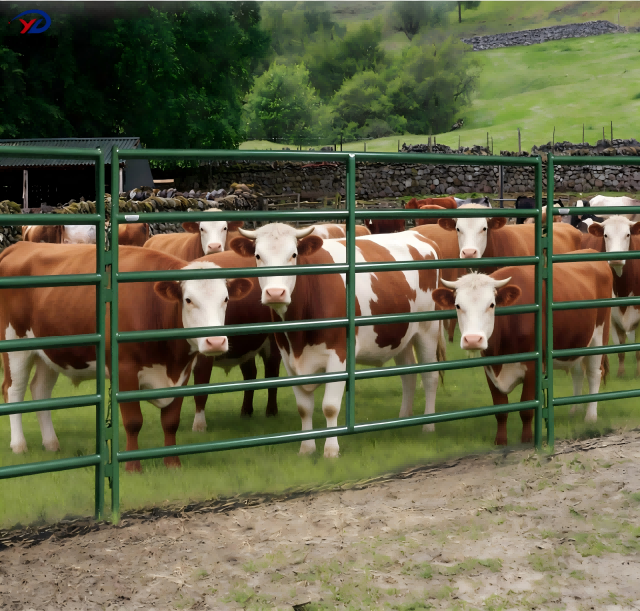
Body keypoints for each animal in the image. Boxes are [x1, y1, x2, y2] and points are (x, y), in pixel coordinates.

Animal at [0, 242, 253, 472]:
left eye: (226, 299)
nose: (215, 342)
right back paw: (19, 445)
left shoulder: (182, 371)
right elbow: (133, 422)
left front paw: (172, 463)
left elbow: (171, 421)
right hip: (16, 345)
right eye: (188, 300)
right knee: (14, 390)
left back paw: (51, 443)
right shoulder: (125, 370)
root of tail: (21, 245)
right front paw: (132, 466)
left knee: (40, 390)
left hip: (49, 353)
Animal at [230, 224, 446, 458]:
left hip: (427, 330)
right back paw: (403, 418)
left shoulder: (338, 355)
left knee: (430, 377)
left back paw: (428, 426)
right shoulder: (288, 358)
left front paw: (331, 450)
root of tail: (419, 235)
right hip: (401, 336)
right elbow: (303, 408)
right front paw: (306, 449)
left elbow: (330, 406)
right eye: (258, 256)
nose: (275, 293)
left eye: (293, 254)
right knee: (408, 375)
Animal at [432, 255, 612, 445]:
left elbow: (526, 408)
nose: (473, 339)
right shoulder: (490, 369)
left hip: (599, 335)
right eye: (458, 306)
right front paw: (500, 441)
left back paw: (590, 416)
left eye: (492, 304)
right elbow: (500, 409)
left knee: (594, 373)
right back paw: (574, 410)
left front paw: (527, 438)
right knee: (578, 373)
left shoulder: (533, 367)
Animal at [582, 217, 640, 377]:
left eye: (628, 234)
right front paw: (621, 373)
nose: (616, 258)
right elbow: (620, 347)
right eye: (606, 235)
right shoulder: (613, 318)